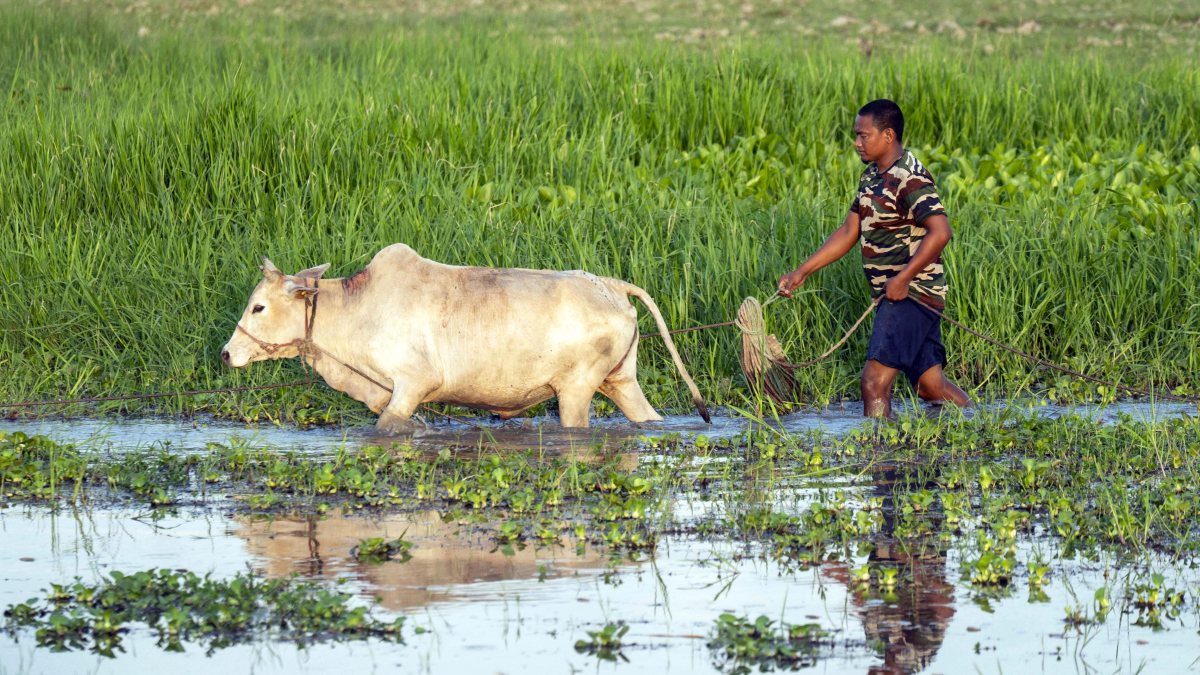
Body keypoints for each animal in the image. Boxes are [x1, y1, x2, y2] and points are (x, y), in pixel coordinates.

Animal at [220, 244, 711, 431]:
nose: (226, 354)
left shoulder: (412, 384)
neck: (354, 310)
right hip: (621, 381)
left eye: (258, 307)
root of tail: (609, 284)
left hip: (575, 390)